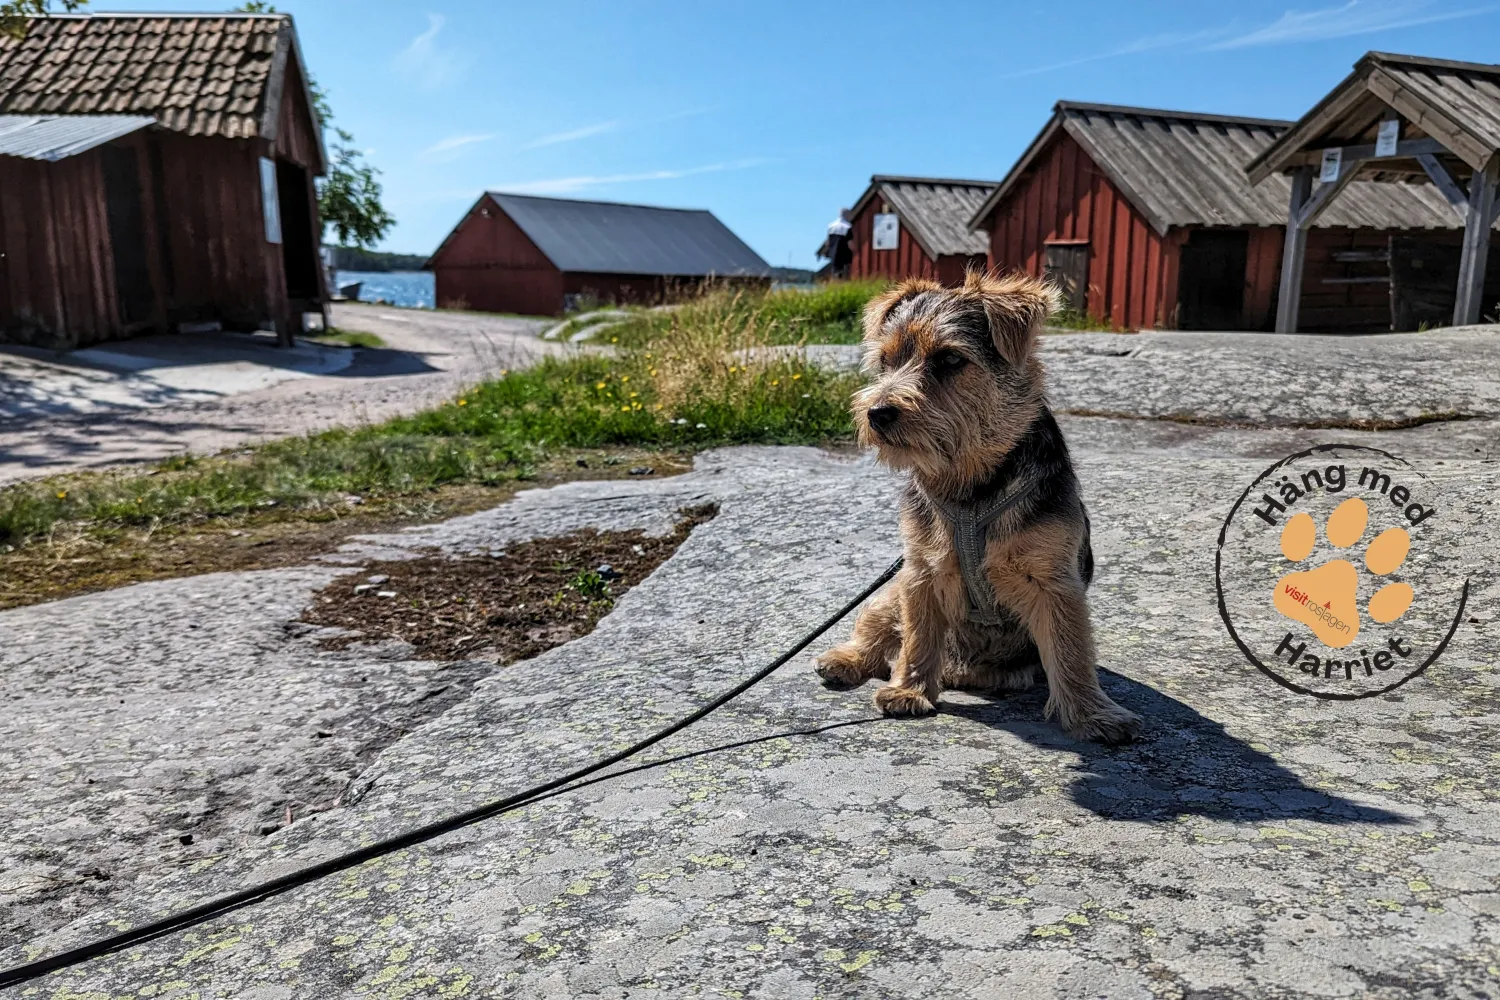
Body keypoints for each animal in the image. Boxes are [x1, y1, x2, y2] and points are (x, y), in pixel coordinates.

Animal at [822, 271, 1134, 743]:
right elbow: (918, 636)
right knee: (877, 629)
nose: (877, 412)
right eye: (886, 361)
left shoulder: (1055, 583)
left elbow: (1071, 651)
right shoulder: (919, 573)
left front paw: (1091, 714)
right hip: (890, 592)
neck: (970, 484)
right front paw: (909, 690)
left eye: (949, 359)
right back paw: (844, 660)